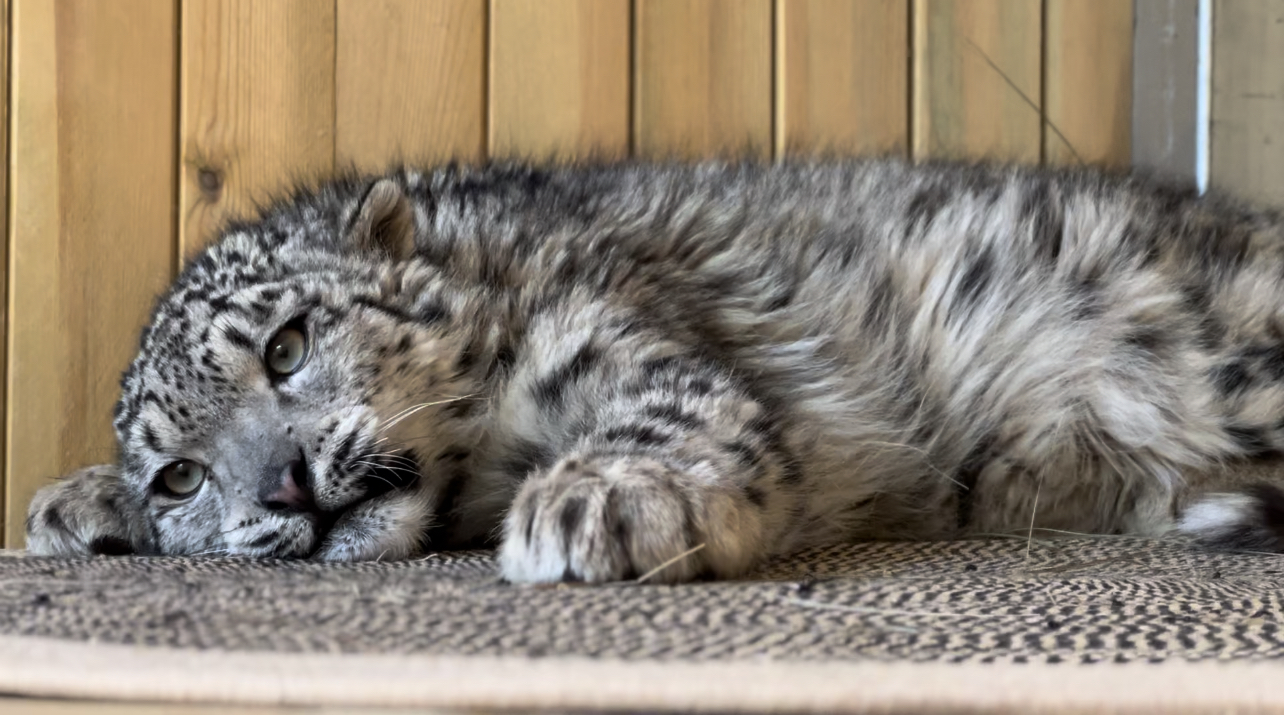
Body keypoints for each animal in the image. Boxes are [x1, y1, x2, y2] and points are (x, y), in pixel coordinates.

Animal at [22, 158, 1284, 583]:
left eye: (285, 345)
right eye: (180, 475)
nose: (284, 485)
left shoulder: (626, 344)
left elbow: (671, 417)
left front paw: (597, 503)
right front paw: (77, 504)